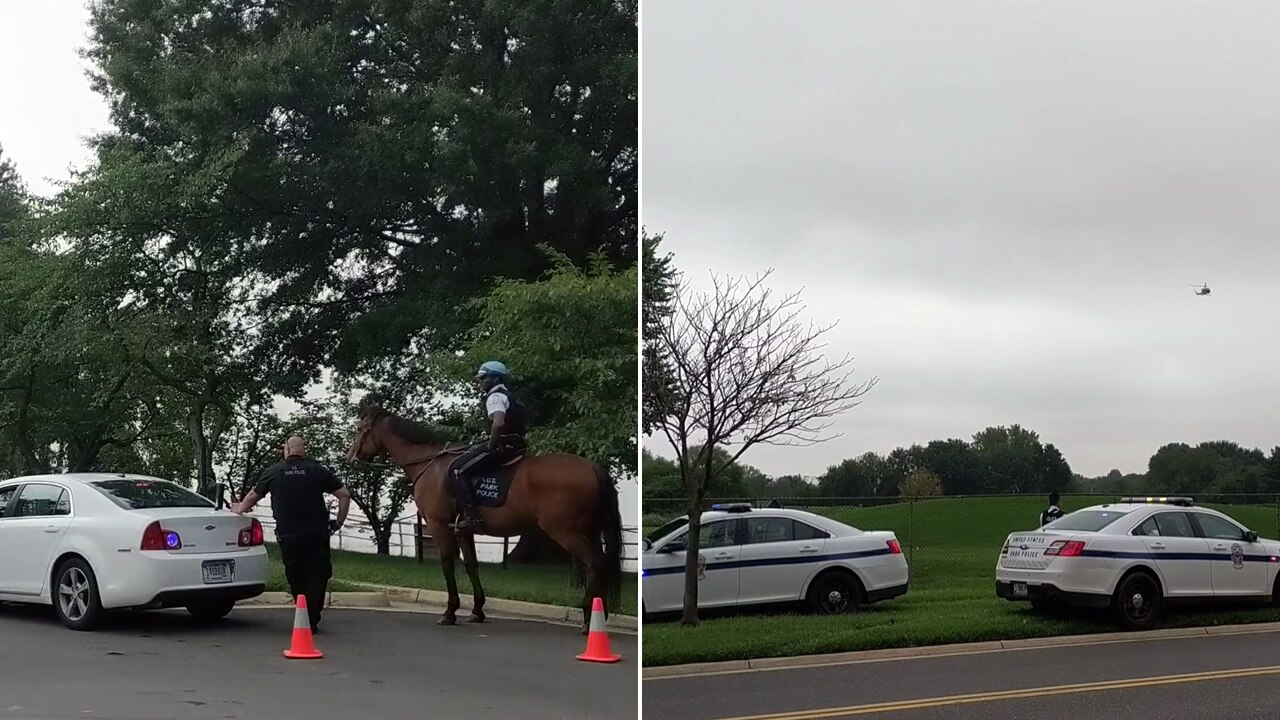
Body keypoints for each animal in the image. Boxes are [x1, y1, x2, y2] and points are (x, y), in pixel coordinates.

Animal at [344, 396, 624, 632]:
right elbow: (471, 565)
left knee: (594, 563)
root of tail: (593, 466)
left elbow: (448, 565)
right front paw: (477, 610)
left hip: (566, 531)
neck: (430, 463)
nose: (350, 457)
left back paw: (589, 620)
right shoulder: (463, 529)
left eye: (359, 429)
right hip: (588, 530)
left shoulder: (438, 525)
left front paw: (450, 611)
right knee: (600, 564)